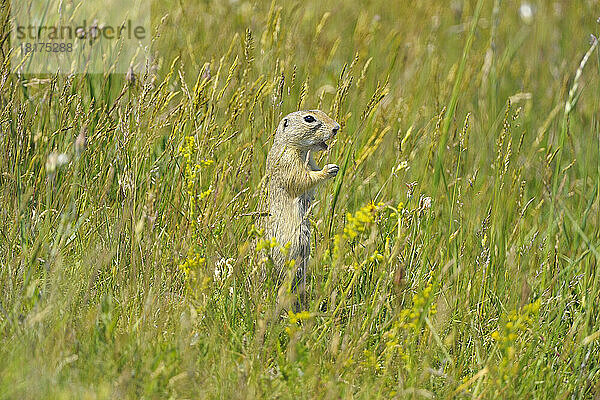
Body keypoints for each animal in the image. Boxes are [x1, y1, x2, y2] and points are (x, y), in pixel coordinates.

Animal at [264, 109, 340, 306]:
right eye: (309, 119)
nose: (336, 128)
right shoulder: (288, 162)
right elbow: (303, 179)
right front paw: (330, 169)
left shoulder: (310, 161)